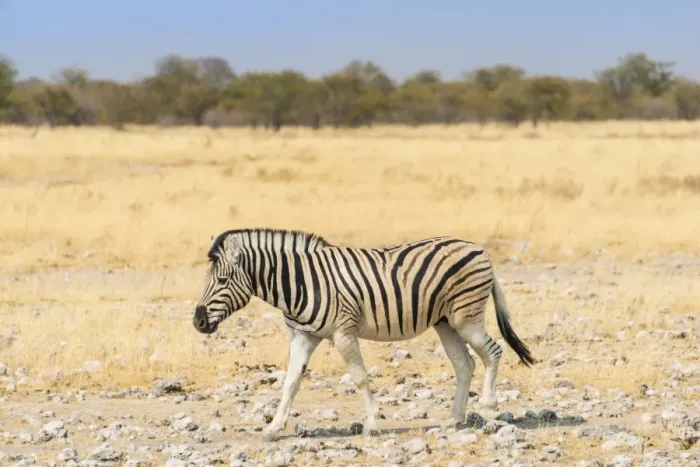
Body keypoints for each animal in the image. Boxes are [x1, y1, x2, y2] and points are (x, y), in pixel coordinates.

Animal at [192, 228, 535, 441]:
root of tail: (479, 249)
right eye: (207, 280)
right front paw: (274, 428)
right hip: (445, 322)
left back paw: (489, 411)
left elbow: (359, 377)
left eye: (221, 281)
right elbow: (290, 383)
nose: (198, 322)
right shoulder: (303, 336)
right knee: (465, 364)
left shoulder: (343, 331)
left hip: (466, 318)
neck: (301, 282)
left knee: (493, 352)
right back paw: (453, 419)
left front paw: (372, 423)